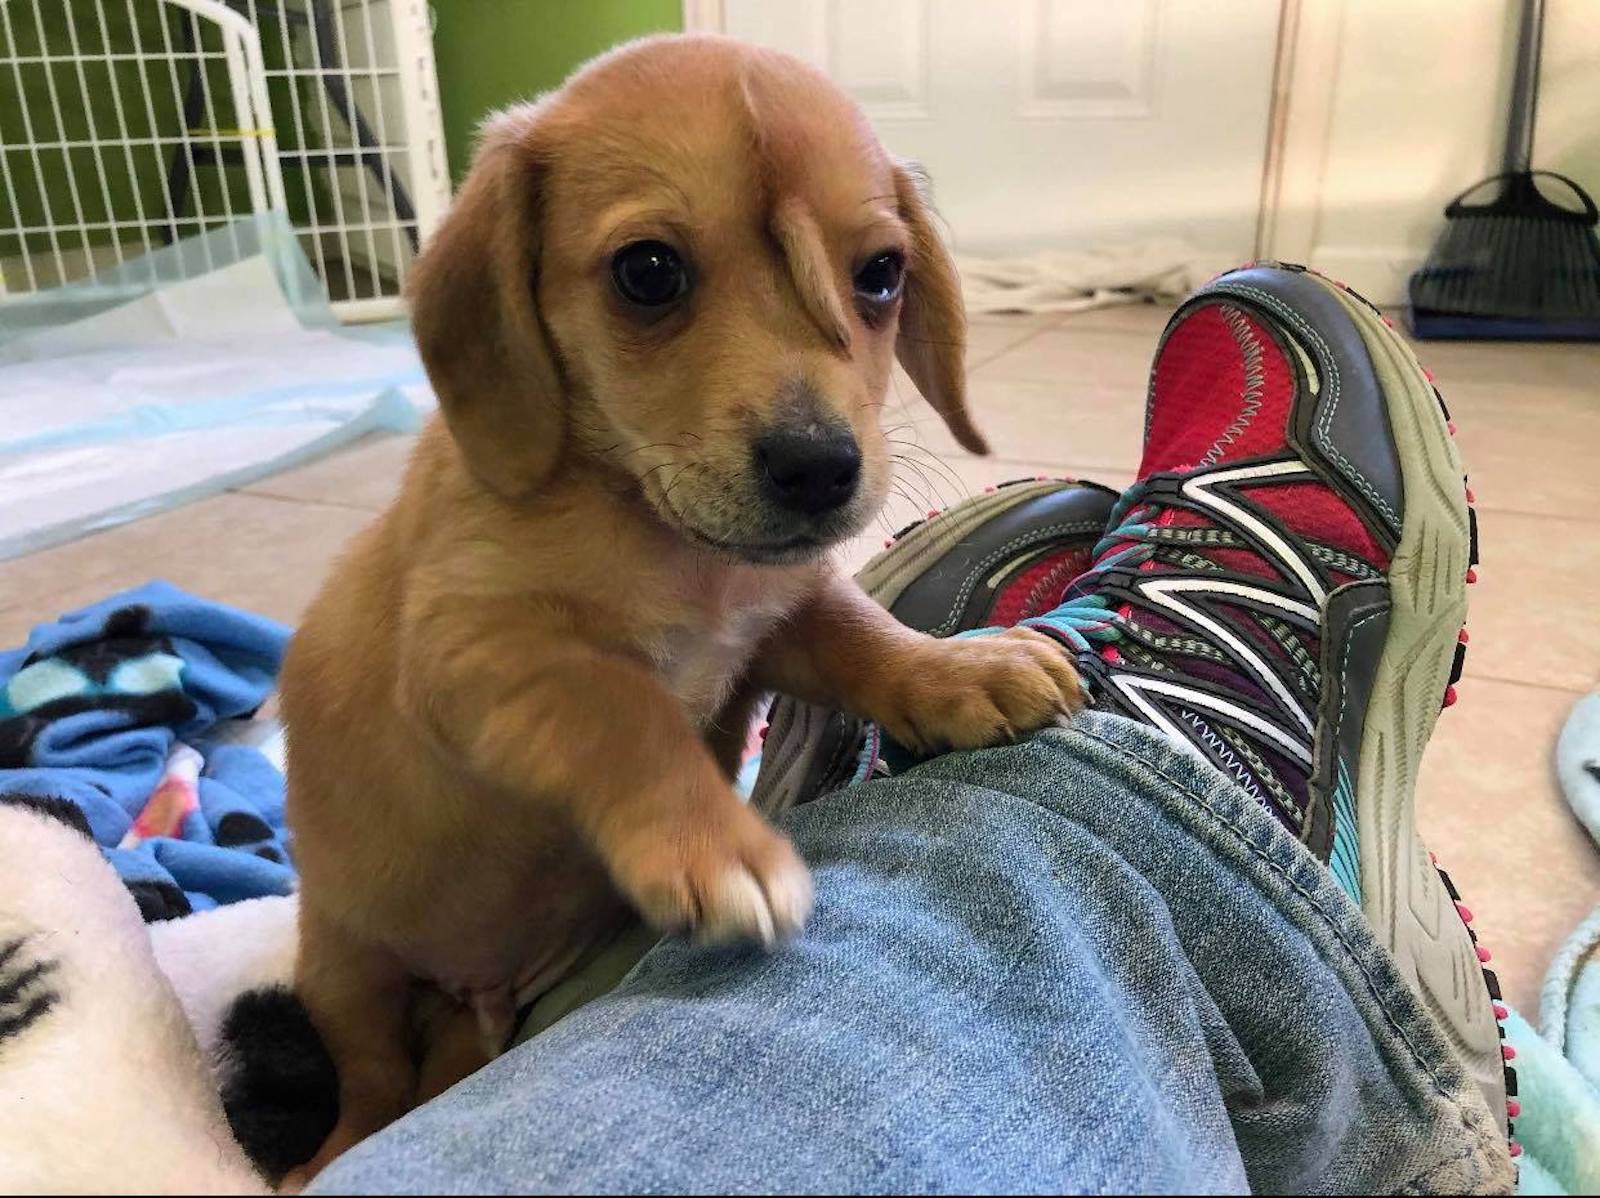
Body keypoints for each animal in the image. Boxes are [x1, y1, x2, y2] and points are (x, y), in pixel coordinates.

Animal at [281, 32, 1088, 1183]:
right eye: (648, 272)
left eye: (879, 275)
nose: (820, 468)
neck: (668, 540)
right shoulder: (478, 653)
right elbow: (627, 712)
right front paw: (717, 844)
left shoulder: (782, 614)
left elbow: (865, 635)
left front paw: (960, 670)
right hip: (346, 973)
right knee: (371, 1084)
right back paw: (325, 1154)